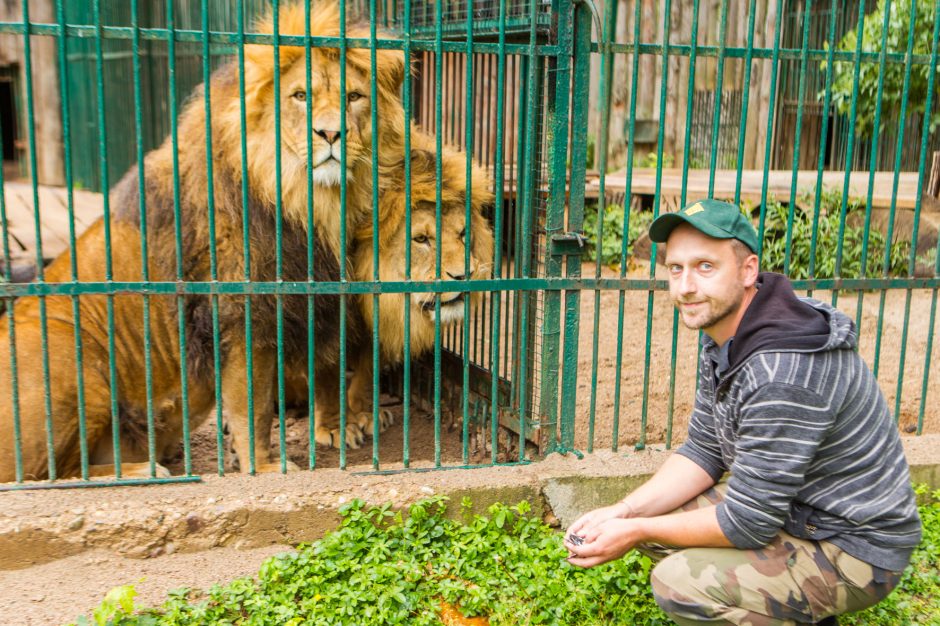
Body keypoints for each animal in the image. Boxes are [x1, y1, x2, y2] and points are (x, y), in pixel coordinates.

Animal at [0, 1, 404, 478]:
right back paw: (142, 470)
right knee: (49, 475)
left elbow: (330, 369)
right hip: (73, 368)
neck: (307, 200)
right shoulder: (241, 313)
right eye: (300, 96)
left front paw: (338, 426)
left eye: (354, 98)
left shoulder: (321, 297)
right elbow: (253, 404)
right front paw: (263, 466)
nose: (330, 134)